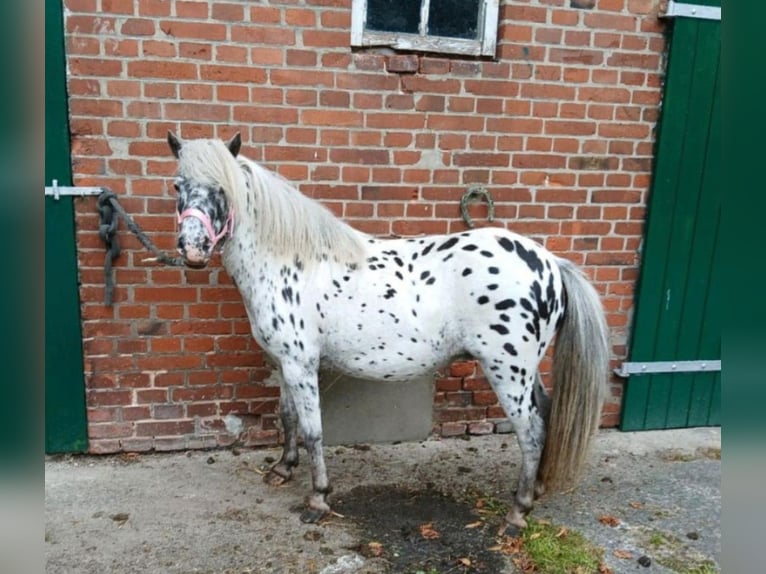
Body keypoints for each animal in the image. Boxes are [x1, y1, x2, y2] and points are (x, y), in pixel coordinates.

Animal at [168, 132, 612, 536]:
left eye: (222, 188)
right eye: (177, 186)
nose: (192, 249)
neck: (289, 260)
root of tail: (550, 263)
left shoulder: (300, 363)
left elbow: (313, 430)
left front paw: (318, 499)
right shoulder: (283, 362)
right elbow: (288, 416)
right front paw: (282, 468)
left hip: (507, 370)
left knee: (531, 430)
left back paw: (517, 514)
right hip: (526, 370)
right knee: (546, 414)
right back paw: (535, 490)